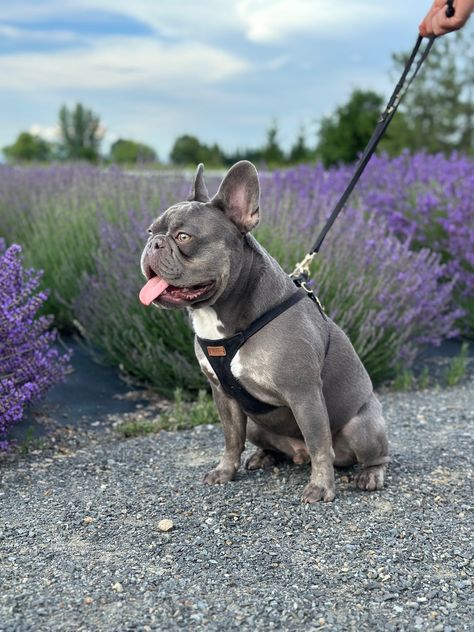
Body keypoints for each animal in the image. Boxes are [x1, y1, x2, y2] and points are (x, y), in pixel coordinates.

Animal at [140, 160, 388, 502]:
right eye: (151, 232)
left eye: (183, 236)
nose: (153, 243)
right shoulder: (224, 395)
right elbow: (231, 439)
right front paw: (225, 471)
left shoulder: (304, 394)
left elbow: (319, 444)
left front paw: (320, 487)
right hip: (258, 423)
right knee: (267, 442)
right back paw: (265, 456)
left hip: (361, 428)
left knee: (368, 454)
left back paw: (371, 474)